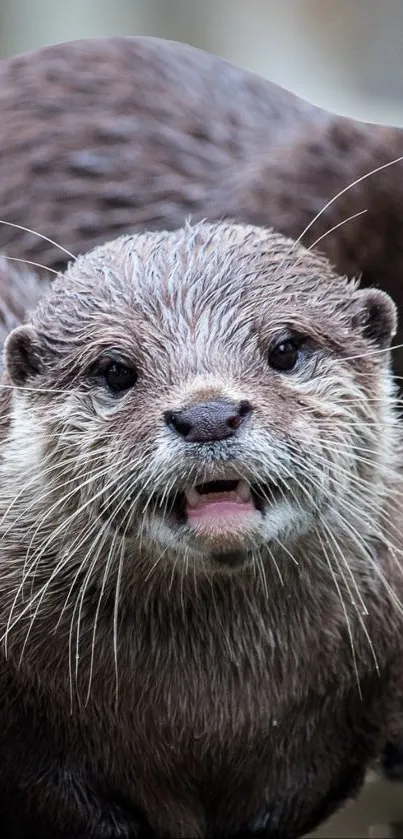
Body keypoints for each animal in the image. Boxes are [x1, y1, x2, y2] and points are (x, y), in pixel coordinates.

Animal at [0, 223, 403, 839]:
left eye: (285, 349)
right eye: (115, 370)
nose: (209, 415)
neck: (209, 715)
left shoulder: (342, 726)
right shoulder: (35, 750)